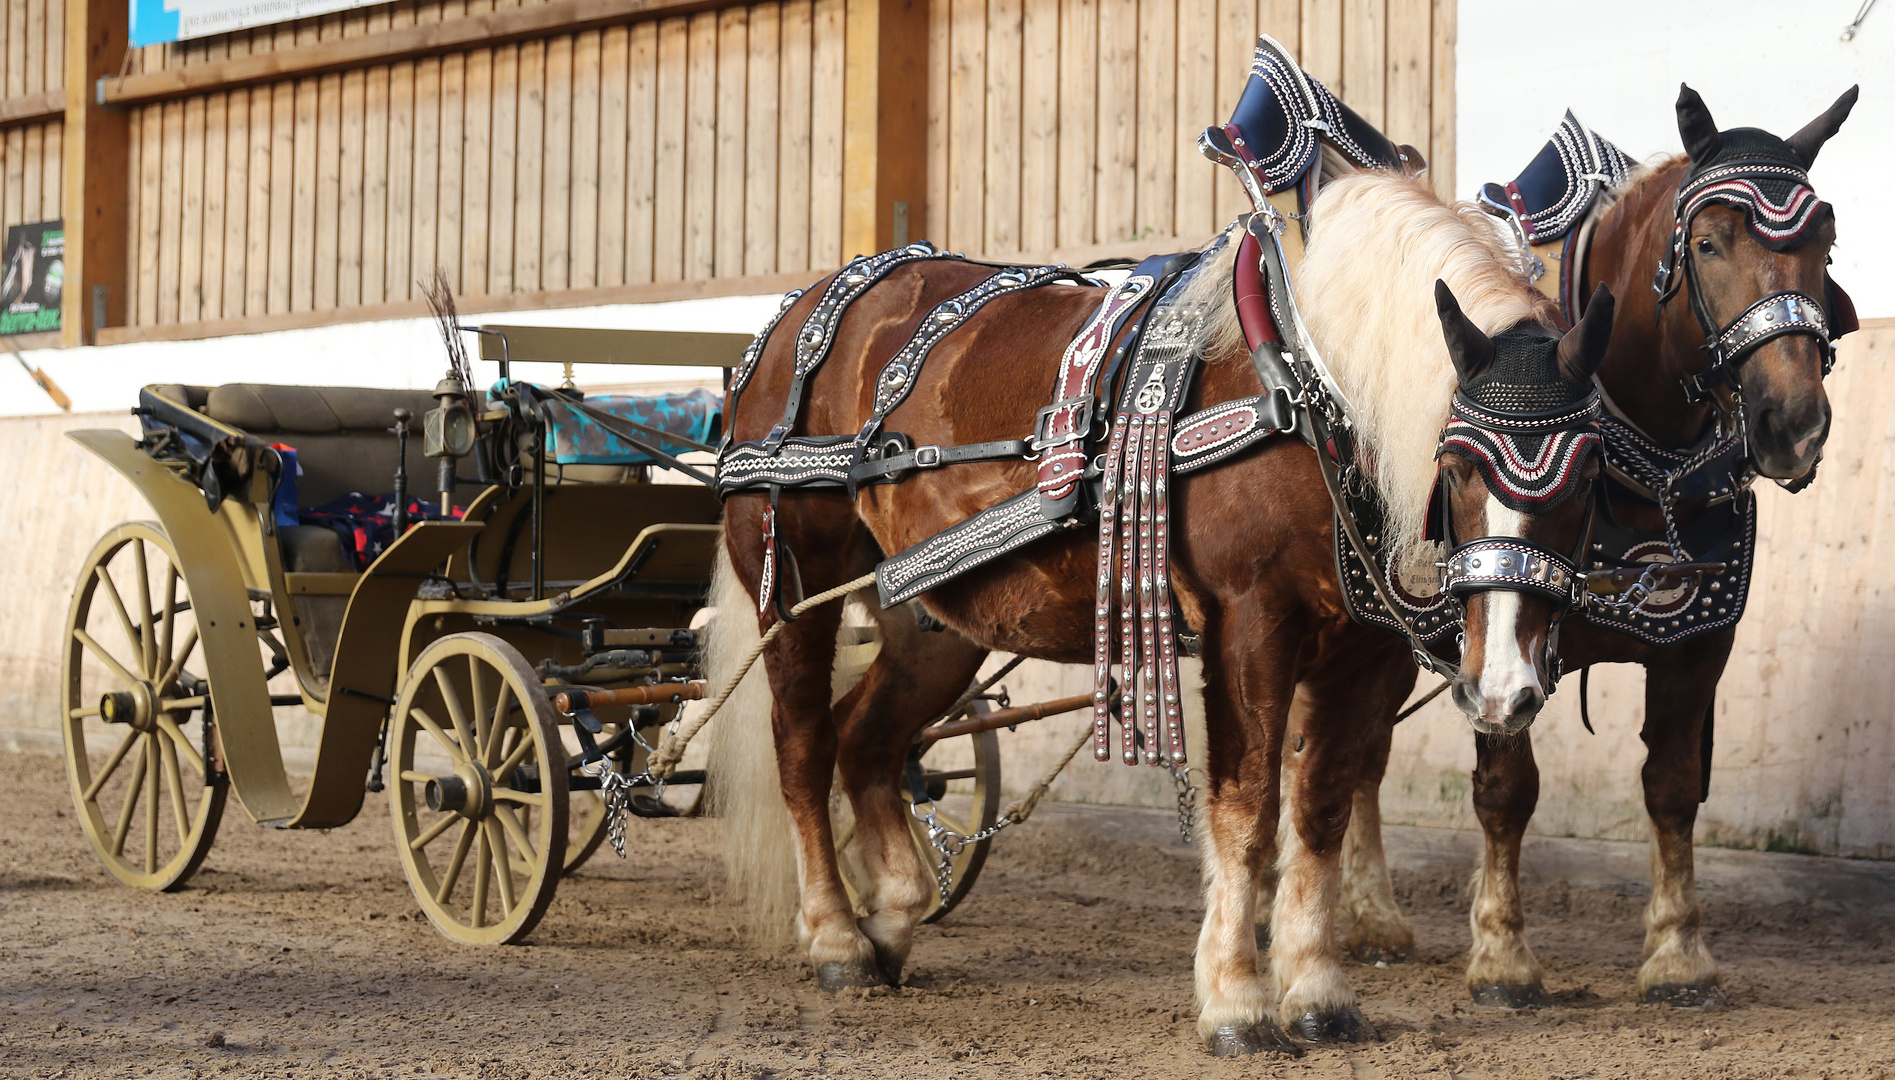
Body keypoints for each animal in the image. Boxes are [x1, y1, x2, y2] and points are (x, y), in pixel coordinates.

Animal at [712, 174, 1614, 1053]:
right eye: (1455, 466)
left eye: (1591, 473)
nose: (1504, 692)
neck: (1306, 384)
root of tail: (796, 311)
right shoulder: (1250, 624)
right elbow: (1247, 810)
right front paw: (1235, 1001)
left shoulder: (1363, 651)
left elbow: (1319, 806)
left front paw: (1317, 993)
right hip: (792, 583)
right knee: (804, 745)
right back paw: (834, 936)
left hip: (934, 617)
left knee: (866, 741)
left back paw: (893, 916)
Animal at [1341, 86, 1857, 1008]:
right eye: (1707, 242)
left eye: (1823, 240)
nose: (1791, 424)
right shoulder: (1488, 633)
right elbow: (1506, 791)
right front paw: (1501, 954)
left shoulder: (1695, 644)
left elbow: (1672, 788)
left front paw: (1678, 952)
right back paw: (1361, 916)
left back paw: (1371, 918)